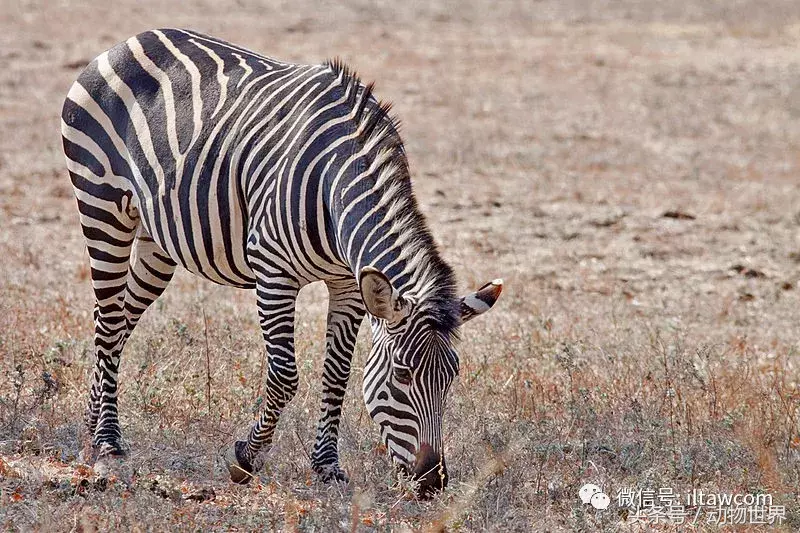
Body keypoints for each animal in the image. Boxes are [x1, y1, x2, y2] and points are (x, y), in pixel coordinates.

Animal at [62, 28, 500, 494]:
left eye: (451, 376)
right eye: (401, 375)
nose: (434, 481)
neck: (334, 188)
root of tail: (133, 39)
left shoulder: (348, 283)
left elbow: (337, 374)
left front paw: (326, 466)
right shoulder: (273, 273)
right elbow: (286, 375)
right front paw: (246, 458)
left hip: (157, 240)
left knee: (115, 321)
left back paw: (93, 426)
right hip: (102, 207)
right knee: (109, 322)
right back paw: (107, 442)